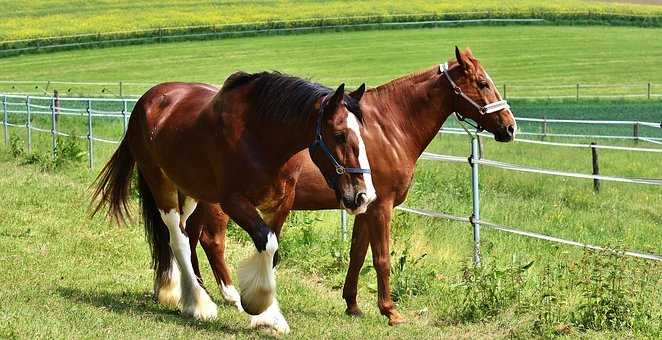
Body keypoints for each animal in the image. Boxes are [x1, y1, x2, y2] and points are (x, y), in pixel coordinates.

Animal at [91, 70, 376, 334]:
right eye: (339, 134)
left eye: (362, 134)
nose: (363, 196)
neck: (260, 137)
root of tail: (147, 100)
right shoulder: (233, 202)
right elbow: (267, 244)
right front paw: (258, 306)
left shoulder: (281, 203)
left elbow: (271, 252)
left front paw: (267, 318)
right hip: (161, 185)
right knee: (178, 239)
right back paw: (199, 304)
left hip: (191, 191)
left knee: (186, 235)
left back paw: (183, 292)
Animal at [175, 46, 520, 328]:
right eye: (482, 83)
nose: (510, 127)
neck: (388, 127)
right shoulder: (381, 207)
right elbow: (381, 259)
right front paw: (391, 311)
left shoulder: (364, 205)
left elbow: (357, 254)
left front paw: (353, 305)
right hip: (219, 204)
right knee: (210, 240)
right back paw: (229, 295)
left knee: (191, 234)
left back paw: (200, 290)